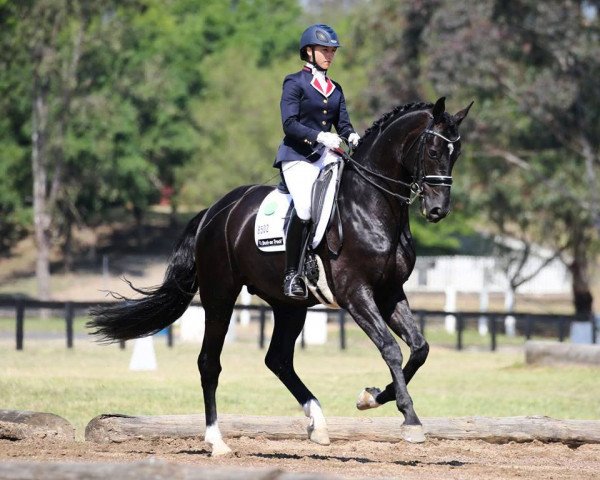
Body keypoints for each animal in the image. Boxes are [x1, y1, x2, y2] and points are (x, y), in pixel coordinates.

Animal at [89, 96, 474, 454]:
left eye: (456, 153)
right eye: (434, 150)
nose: (437, 210)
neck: (371, 206)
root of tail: (215, 211)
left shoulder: (390, 292)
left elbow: (419, 348)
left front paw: (371, 396)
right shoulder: (356, 294)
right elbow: (391, 349)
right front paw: (410, 420)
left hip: (288, 305)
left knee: (277, 359)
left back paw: (317, 423)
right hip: (220, 296)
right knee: (209, 363)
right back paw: (217, 441)